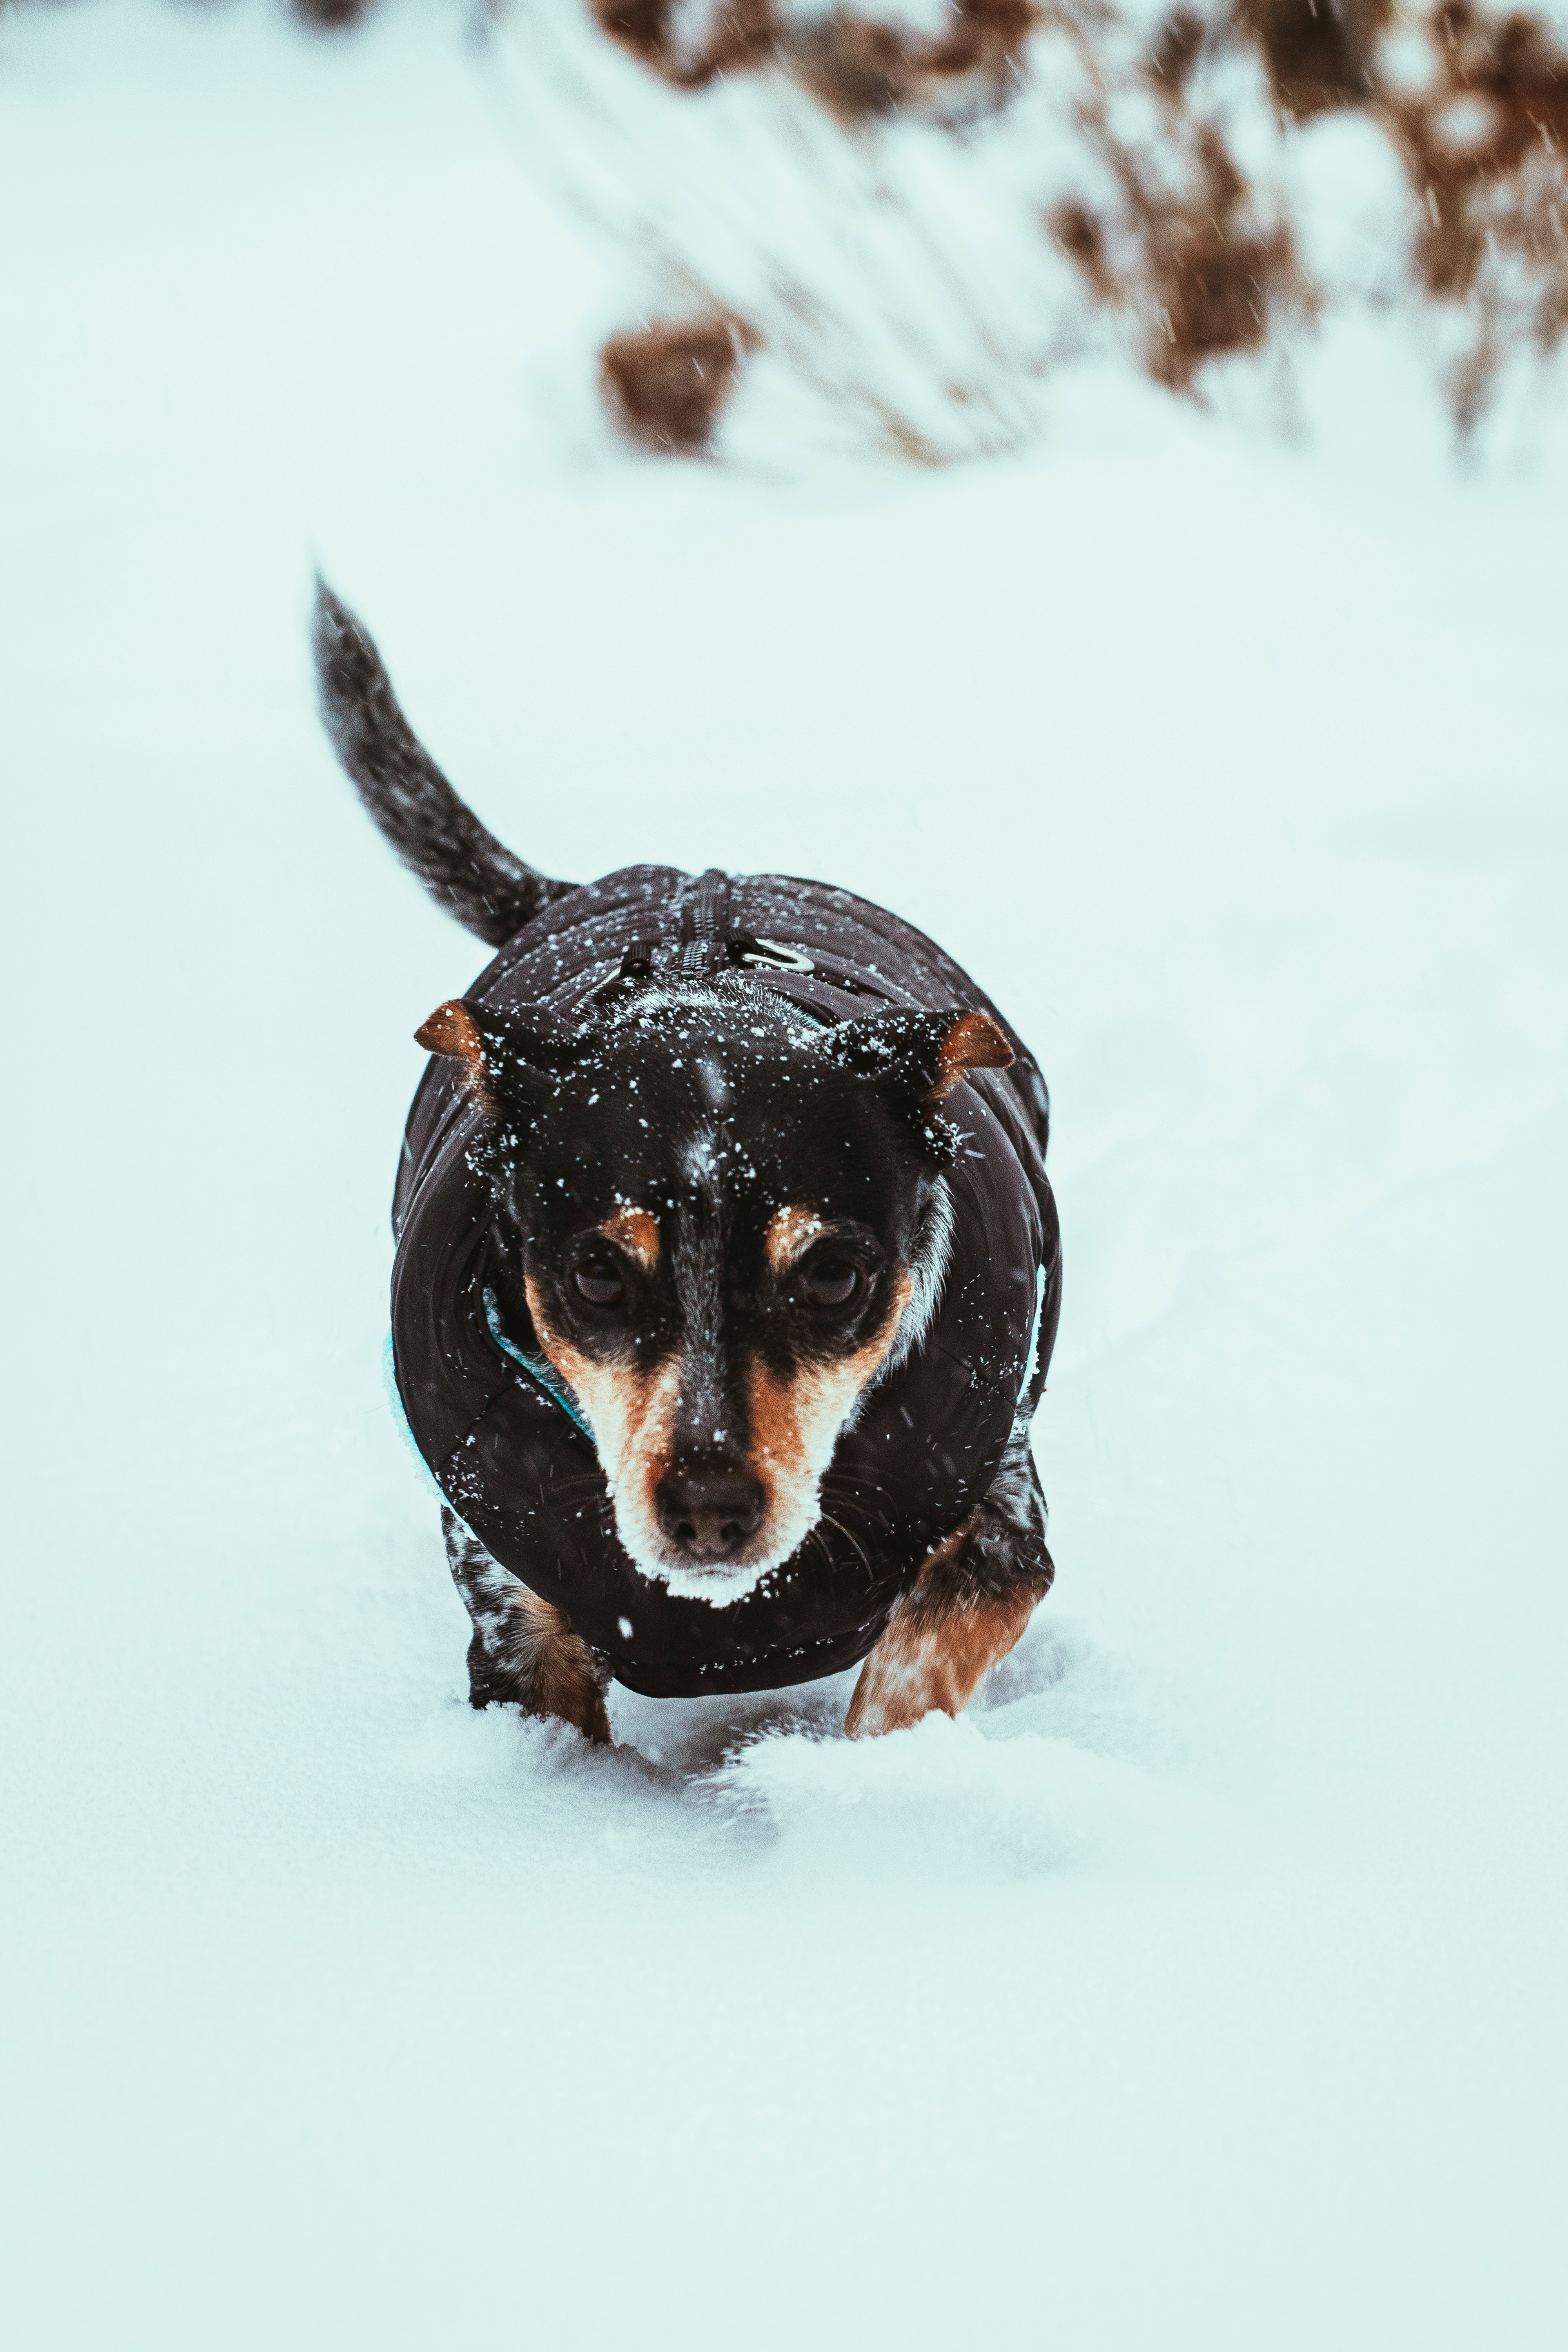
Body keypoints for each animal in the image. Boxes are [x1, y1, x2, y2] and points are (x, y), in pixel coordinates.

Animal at [310, 579, 1062, 1740]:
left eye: (832, 1275)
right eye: (595, 1274)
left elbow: (912, 1671)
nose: (710, 1507)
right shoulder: (514, 1615)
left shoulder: (999, 1524)